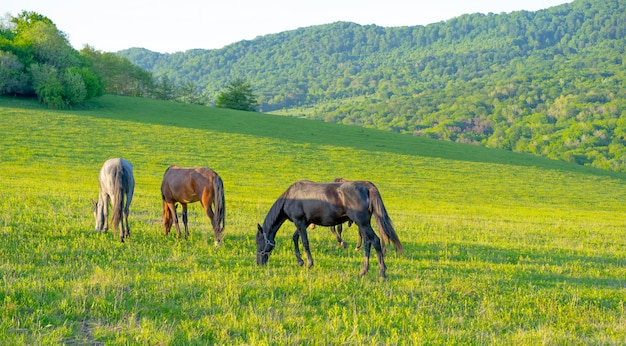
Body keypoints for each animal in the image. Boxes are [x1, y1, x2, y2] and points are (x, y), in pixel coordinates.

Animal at [256, 180, 402, 278]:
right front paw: (300, 261)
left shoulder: (300, 222)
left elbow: (305, 242)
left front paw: (309, 264)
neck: (291, 197)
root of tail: (366, 187)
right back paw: (364, 271)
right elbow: (295, 238)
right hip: (363, 224)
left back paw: (382, 273)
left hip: (363, 223)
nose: (259, 263)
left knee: (375, 241)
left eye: (258, 242)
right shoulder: (305, 223)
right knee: (367, 242)